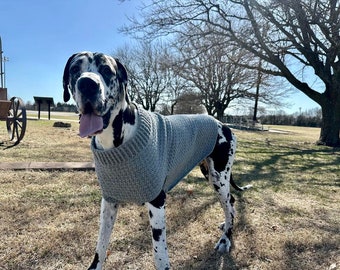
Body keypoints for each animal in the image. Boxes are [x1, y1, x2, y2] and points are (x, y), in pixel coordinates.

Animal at [62, 51, 251, 268]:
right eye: (75, 69)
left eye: (106, 70)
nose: (87, 84)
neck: (119, 141)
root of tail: (223, 124)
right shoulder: (108, 203)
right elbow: (101, 246)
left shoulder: (157, 202)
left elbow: (159, 254)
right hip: (210, 174)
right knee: (231, 202)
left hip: (219, 177)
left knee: (229, 202)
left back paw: (226, 238)